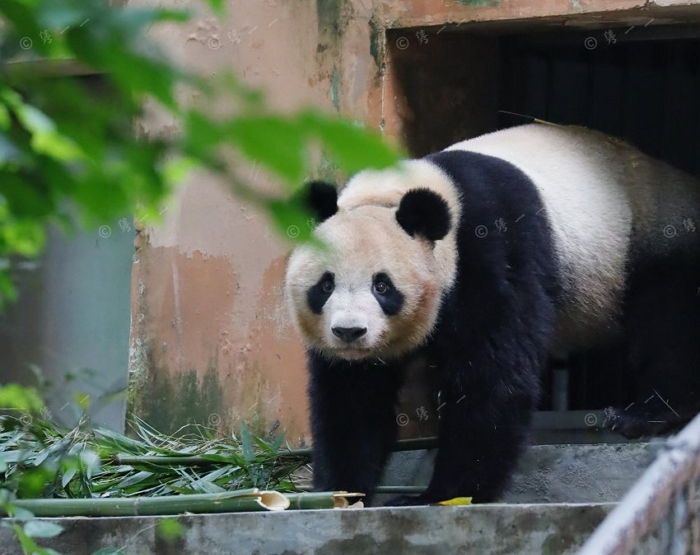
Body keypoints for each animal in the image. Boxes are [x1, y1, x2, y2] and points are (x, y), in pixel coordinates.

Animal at [284, 124, 700, 506]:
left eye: (382, 286)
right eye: (325, 285)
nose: (349, 332)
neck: (391, 196)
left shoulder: (491, 246)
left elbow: (492, 374)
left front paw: (441, 495)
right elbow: (352, 396)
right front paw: (339, 492)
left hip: (652, 240)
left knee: (668, 327)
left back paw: (644, 414)